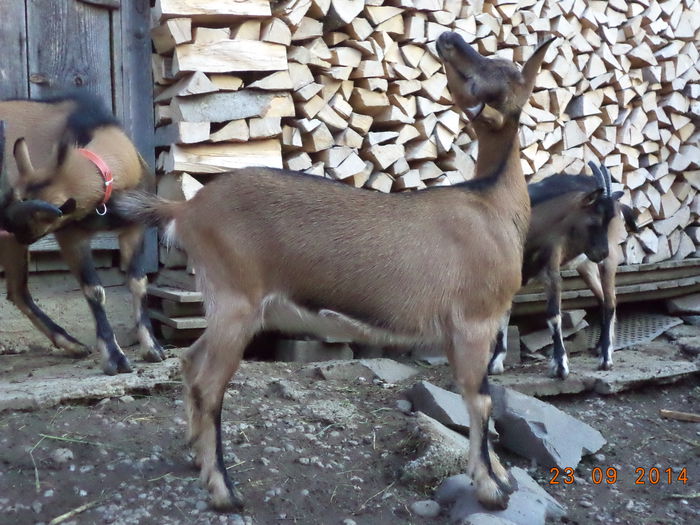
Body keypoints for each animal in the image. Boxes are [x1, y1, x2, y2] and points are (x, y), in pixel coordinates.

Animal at [0, 93, 163, 372]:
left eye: (22, 221)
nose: (2, 223)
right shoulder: (71, 234)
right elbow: (94, 290)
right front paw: (115, 358)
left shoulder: (134, 227)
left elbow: (138, 282)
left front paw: (152, 348)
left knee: (17, 292)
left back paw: (74, 346)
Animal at [113, 34, 552, 510]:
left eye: (499, 69)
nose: (447, 39)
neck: (491, 205)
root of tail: (186, 210)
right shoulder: (474, 322)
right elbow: (479, 400)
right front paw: (490, 488)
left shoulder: (465, 331)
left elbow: (477, 399)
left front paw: (500, 475)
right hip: (236, 302)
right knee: (210, 385)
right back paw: (223, 490)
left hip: (225, 307)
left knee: (191, 362)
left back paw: (196, 455)